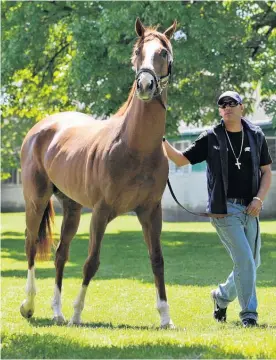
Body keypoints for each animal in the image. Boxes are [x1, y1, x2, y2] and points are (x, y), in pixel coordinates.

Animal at [20, 17, 177, 330]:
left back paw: (57, 312)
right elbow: (91, 262)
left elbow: (157, 260)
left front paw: (166, 317)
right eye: (137, 52)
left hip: (72, 209)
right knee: (31, 247)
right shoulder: (102, 212)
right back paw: (29, 306)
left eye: (163, 53)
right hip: (36, 200)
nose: (144, 84)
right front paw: (77, 314)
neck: (135, 147)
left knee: (60, 255)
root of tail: (40, 128)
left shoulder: (151, 212)